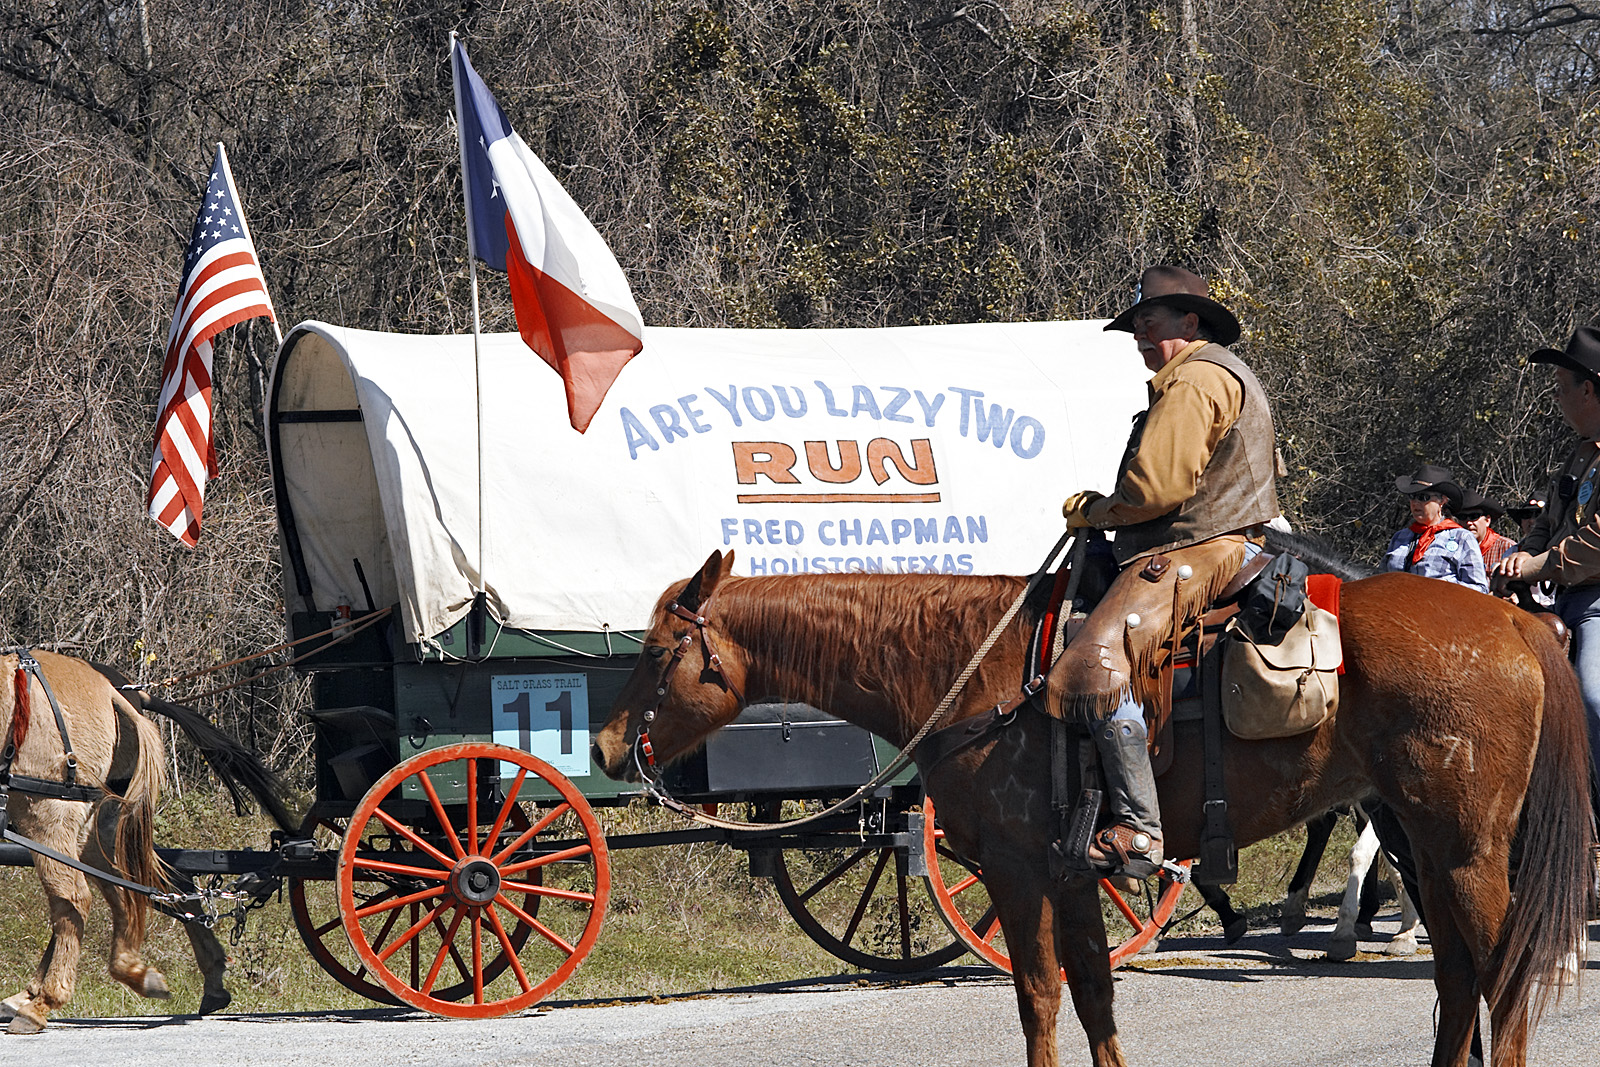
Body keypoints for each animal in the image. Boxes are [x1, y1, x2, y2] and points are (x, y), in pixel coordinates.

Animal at [0, 652, 297, 1036]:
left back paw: (42, 1003)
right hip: (94, 825)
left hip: (47, 814)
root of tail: (115, 692)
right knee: (135, 888)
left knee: (76, 897)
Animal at [595, 550, 1593, 1067]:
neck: (976, 672)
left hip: (1465, 849)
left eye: (656, 651)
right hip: (1424, 840)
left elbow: (1038, 995)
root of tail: (1514, 619)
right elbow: (1092, 993)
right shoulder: (1074, 873)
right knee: (1458, 975)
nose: (606, 748)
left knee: (1500, 971)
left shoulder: (1015, 869)